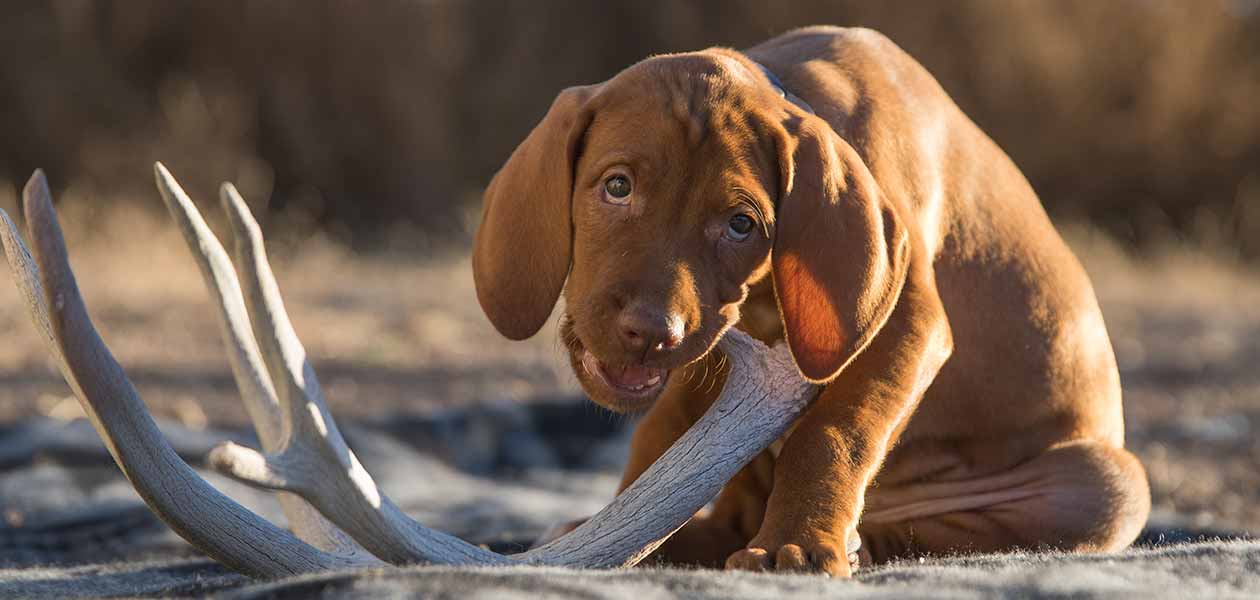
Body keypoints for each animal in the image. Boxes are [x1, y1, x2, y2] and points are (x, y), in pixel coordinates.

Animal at [473, 26, 1154, 577]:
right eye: (617, 187)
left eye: (741, 224)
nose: (652, 332)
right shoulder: (704, 354)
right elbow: (659, 444)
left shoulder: (903, 320)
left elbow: (833, 431)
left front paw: (796, 544)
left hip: (1107, 483)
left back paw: (858, 543)